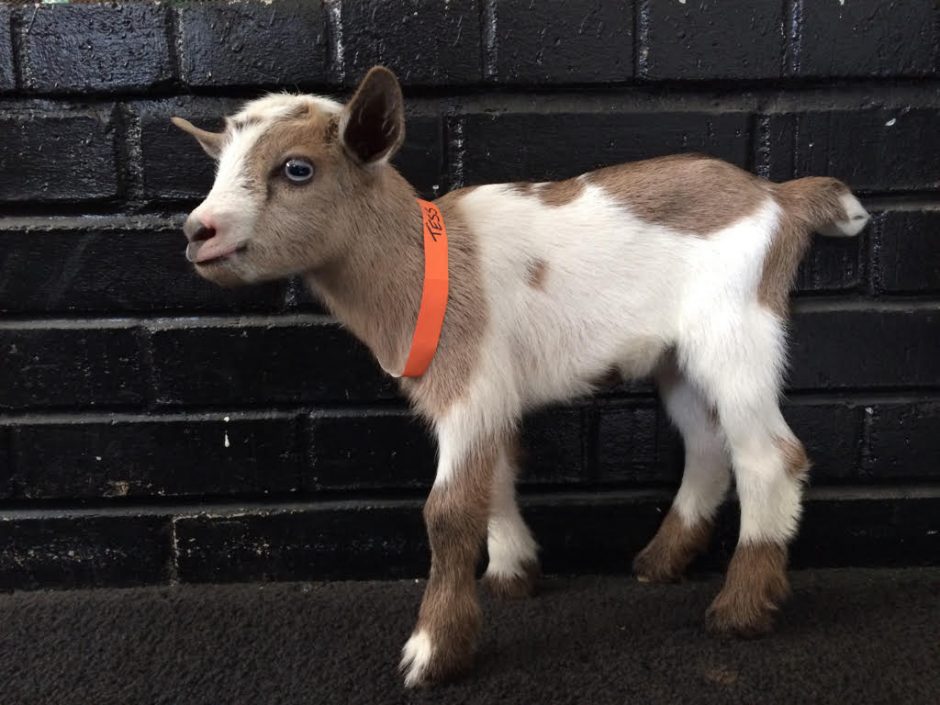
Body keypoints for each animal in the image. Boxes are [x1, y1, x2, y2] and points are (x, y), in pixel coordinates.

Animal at [172, 66, 870, 687]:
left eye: (297, 169)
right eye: (219, 164)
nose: (198, 231)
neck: (424, 262)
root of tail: (779, 197)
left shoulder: (469, 383)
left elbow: (450, 510)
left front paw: (434, 653)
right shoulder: (490, 391)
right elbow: (497, 476)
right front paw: (513, 573)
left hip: (737, 329)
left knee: (769, 455)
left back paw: (741, 610)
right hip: (679, 357)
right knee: (707, 446)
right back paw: (660, 561)